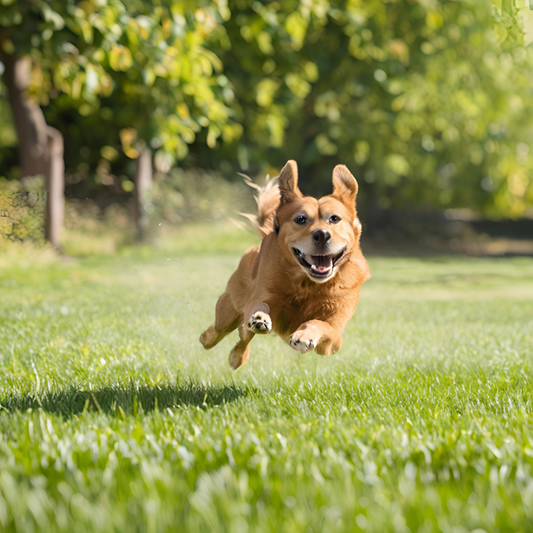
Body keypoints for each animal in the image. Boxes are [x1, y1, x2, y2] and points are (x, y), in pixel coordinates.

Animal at [200, 160, 370, 368]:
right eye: (300, 219)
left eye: (335, 218)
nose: (322, 234)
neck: (308, 285)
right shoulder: (261, 297)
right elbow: (259, 307)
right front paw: (261, 317)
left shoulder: (333, 339)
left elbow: (319, 323)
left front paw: (304, 335)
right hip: (228, 308)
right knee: (225, 331)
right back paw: (213, 340)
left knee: (241, 338)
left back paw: (236, 355)